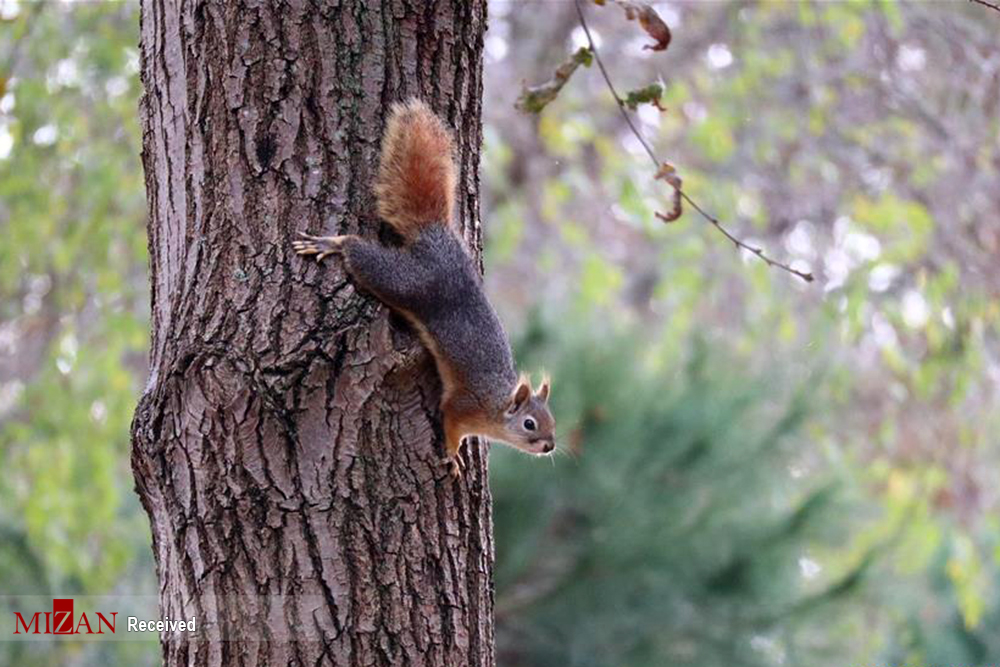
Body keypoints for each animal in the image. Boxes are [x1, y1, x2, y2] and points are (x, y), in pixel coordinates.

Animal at [292, 98, 556, 474]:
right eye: (530, 424)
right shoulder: (462, 406)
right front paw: (453, 455)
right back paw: (334, 243)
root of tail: (437, 237)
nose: (549, 446)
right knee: (362, 256)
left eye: (552, 421)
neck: (495, 406)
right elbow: (450, 424)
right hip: (405, 281)